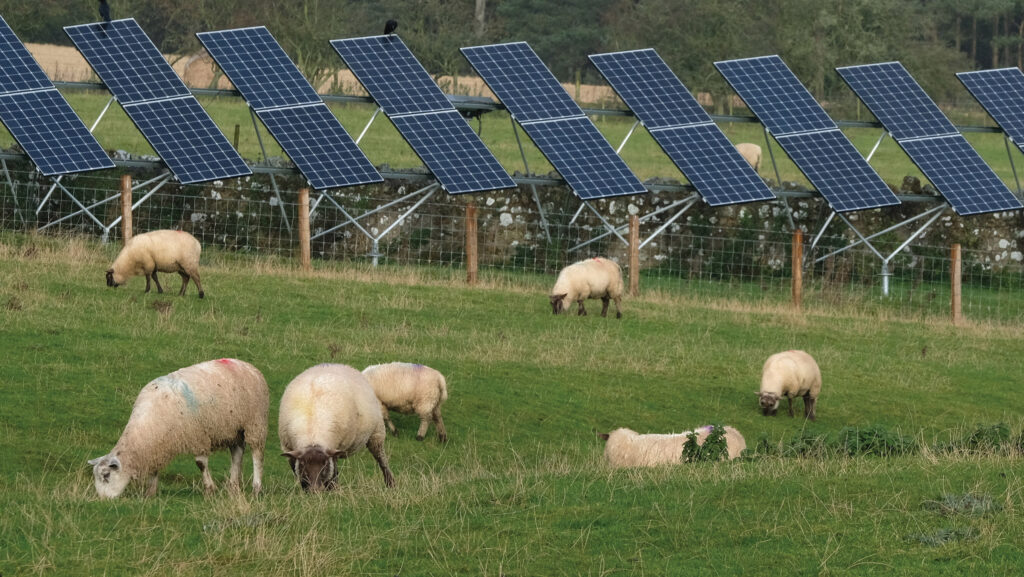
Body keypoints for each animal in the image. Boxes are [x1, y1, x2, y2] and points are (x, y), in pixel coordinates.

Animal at [86, 358, 268, 498]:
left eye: (106, 475)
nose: (102, 499)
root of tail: (247, 365)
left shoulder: (197, 435)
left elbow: (201, 463)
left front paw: (209, 489)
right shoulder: (158, 443)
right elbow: (155, 467)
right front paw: (151, 492)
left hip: (255, 422)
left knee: (257, 454)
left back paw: (256, 487)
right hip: (234, 428)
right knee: (237, 453)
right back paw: (233, 486)